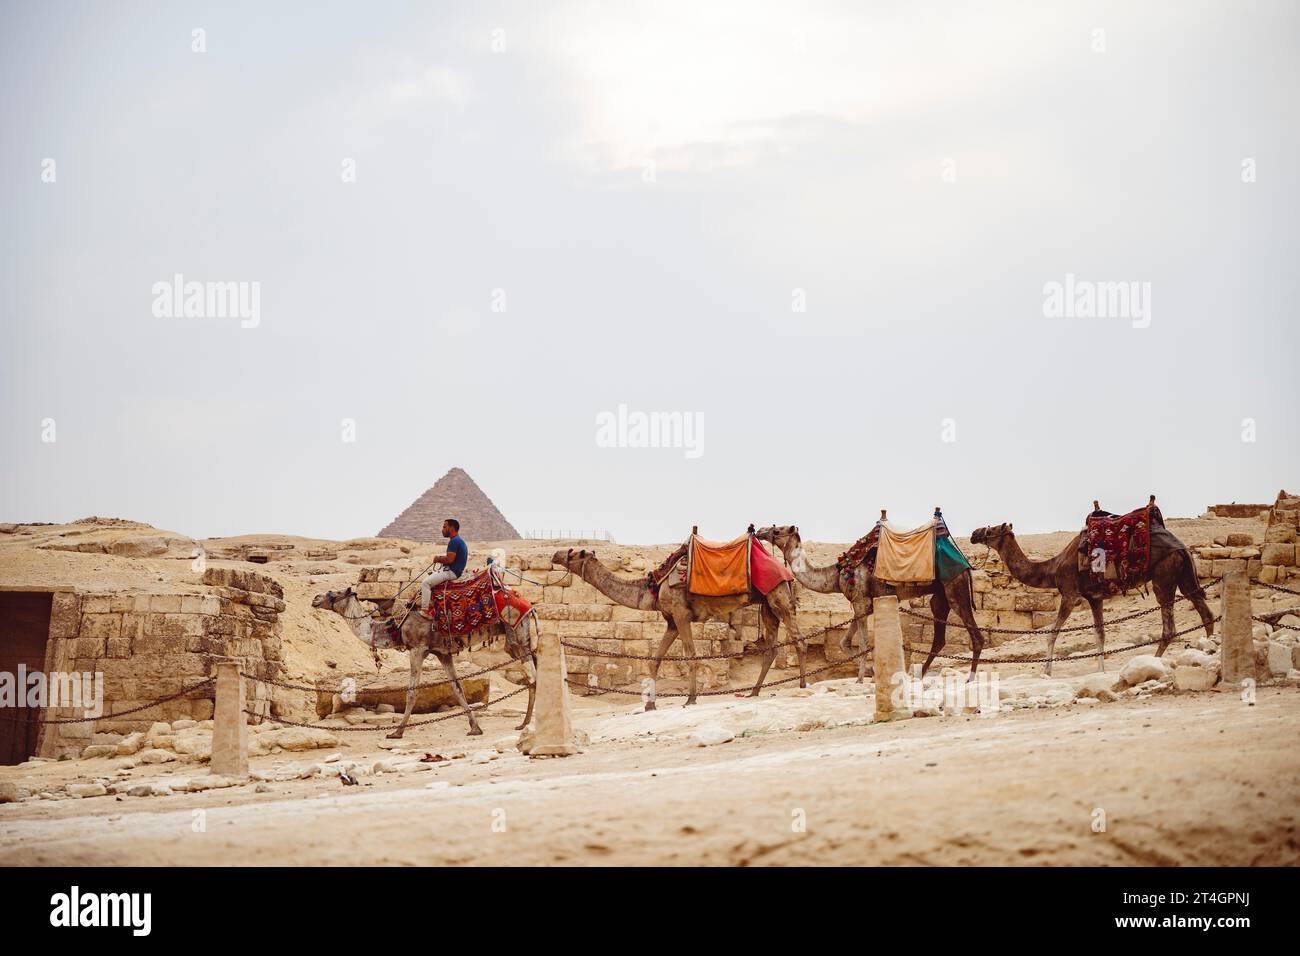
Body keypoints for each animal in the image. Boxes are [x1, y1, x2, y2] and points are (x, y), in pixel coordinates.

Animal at [312, 584, 537, 737]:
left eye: (334, 593)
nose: (315, 599)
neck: (396, 627)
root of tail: (530, 606)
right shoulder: (443, 653)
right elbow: (457, 689)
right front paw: (475, 728)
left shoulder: (417, 649)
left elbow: (412, 692)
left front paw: (397, 732)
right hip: (518, 639)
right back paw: (525, 723)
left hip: (515, 632)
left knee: (534, 677)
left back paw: (528, 723)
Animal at [551, 547, 806, 710]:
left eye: (572, 553)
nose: (554, 555)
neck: (654, 587)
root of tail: (788, 574)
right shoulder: (672, 621)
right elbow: (654, 659)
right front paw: (650, 705)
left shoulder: (681, 614)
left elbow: (691, 655)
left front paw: (690, 699)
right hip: (767, 606)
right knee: (771, 648)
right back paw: (754, 692)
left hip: (778, 596)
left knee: (799, 639)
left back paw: (803, 684)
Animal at [755, 524, 987, 682]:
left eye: (777, 530)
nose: (759, 531)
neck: (837, 574)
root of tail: (966, 563)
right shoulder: (863, 605)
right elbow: (844, 642)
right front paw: (869, 672)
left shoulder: (859, 602)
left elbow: (864, 643)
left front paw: (860, 677)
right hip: (939, 597)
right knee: (939, 638)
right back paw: (920, 675)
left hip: (954, 587)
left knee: (976, 635)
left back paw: (971, 677)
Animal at [969, 508, 1214, 675]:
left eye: (992, 529)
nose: (974, 533)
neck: (1053, 568)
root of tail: (1182, 547)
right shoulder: (1095, 598)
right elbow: (1100, 634)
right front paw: (1101, 670)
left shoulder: (1069, 594)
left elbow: (1052, 632)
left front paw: (1046, 672)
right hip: (1184, 575)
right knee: (1205, 612)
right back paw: (1209, 650)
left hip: (1164, 574)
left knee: (1169, 627)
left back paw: (1153, 661)